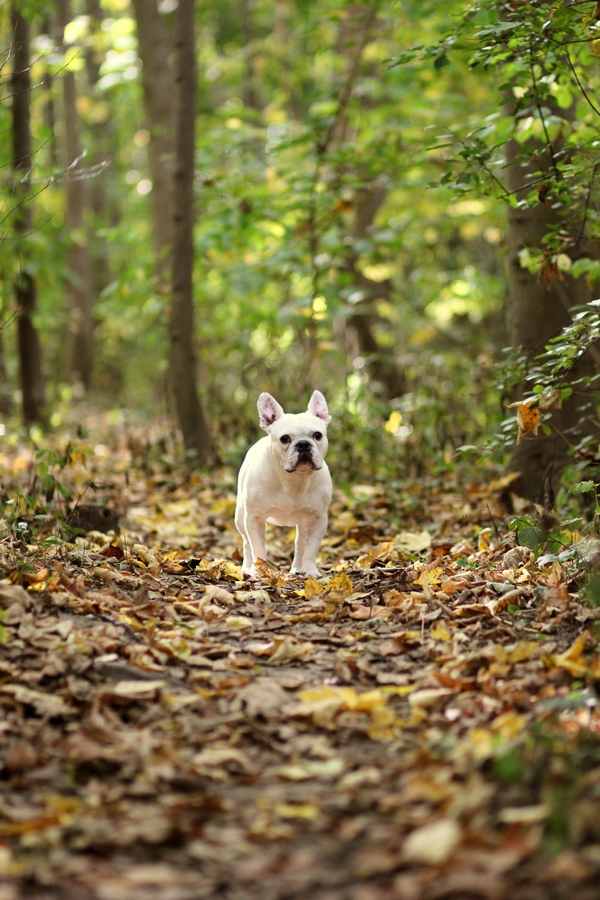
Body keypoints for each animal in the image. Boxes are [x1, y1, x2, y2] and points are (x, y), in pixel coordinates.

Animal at [236, 392, 332, 576]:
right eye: (285, 438)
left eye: (318, 435)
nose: (303, 444)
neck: (294, 479)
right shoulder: (253, 518)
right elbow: (257, 548)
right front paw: (260, 571)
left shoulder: (318, 519)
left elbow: (311, 548)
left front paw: (311, 571)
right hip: (240, 518)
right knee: (246, 543)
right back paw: (247, 567)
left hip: (304, 522)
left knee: (300, 543)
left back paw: (298, 569)